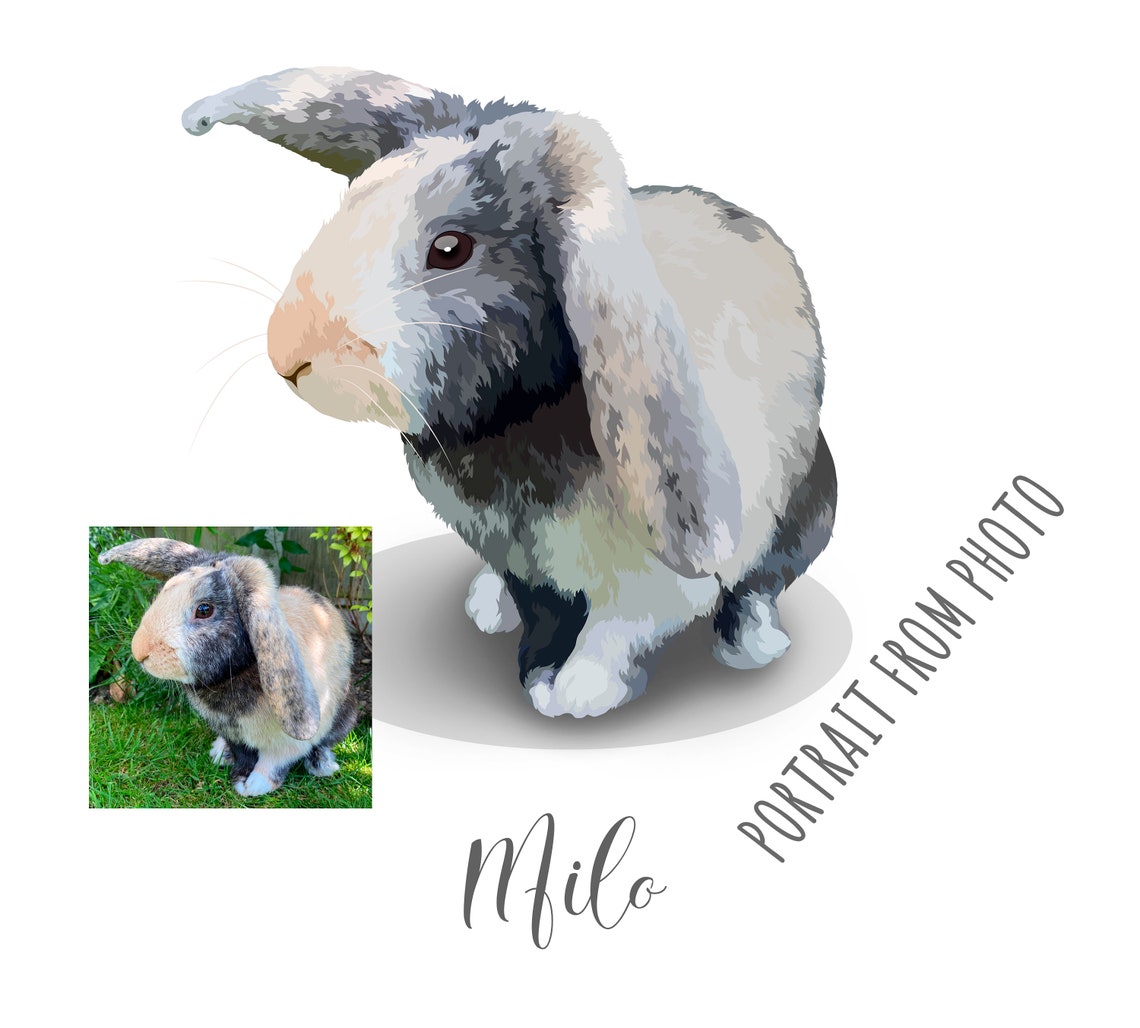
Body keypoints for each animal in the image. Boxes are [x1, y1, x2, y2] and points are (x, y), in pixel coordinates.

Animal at [99, 537, 357, 795]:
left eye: (204, 609)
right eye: (166, 589)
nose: (139, 650)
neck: (233, 676)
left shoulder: (286, 744)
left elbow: (272, 763)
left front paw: (253, 786)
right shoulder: (232, 733)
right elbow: (242, 754)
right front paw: (239, 773)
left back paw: (322, 765)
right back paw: (220, 752)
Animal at [183, 68, 837, 718]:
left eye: (451, 248)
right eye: (351, 202)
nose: (290, 355)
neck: (511, 420)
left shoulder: (653, 583)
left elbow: (615, 631)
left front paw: (577, 695)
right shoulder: (516, 556)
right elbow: (542, 611)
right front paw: (544, 672)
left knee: (766, 579)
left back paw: (753, 644)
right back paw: (486, 604)